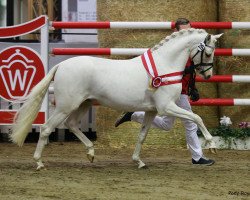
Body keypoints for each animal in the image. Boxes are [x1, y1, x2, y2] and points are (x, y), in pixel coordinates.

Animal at [10, 28, 223, 169]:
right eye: (209, 52)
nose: (208, 75)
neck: (165, 65)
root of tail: (61, 66)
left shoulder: (152, 111)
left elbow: (142, 135)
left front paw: (139, 162)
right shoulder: (166, 107)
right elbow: (196, 118)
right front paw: (212, 145)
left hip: (83, 104)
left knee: (71, 124)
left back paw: (91, 153)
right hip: (66, 106)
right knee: (46, 128)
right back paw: (39, 163)